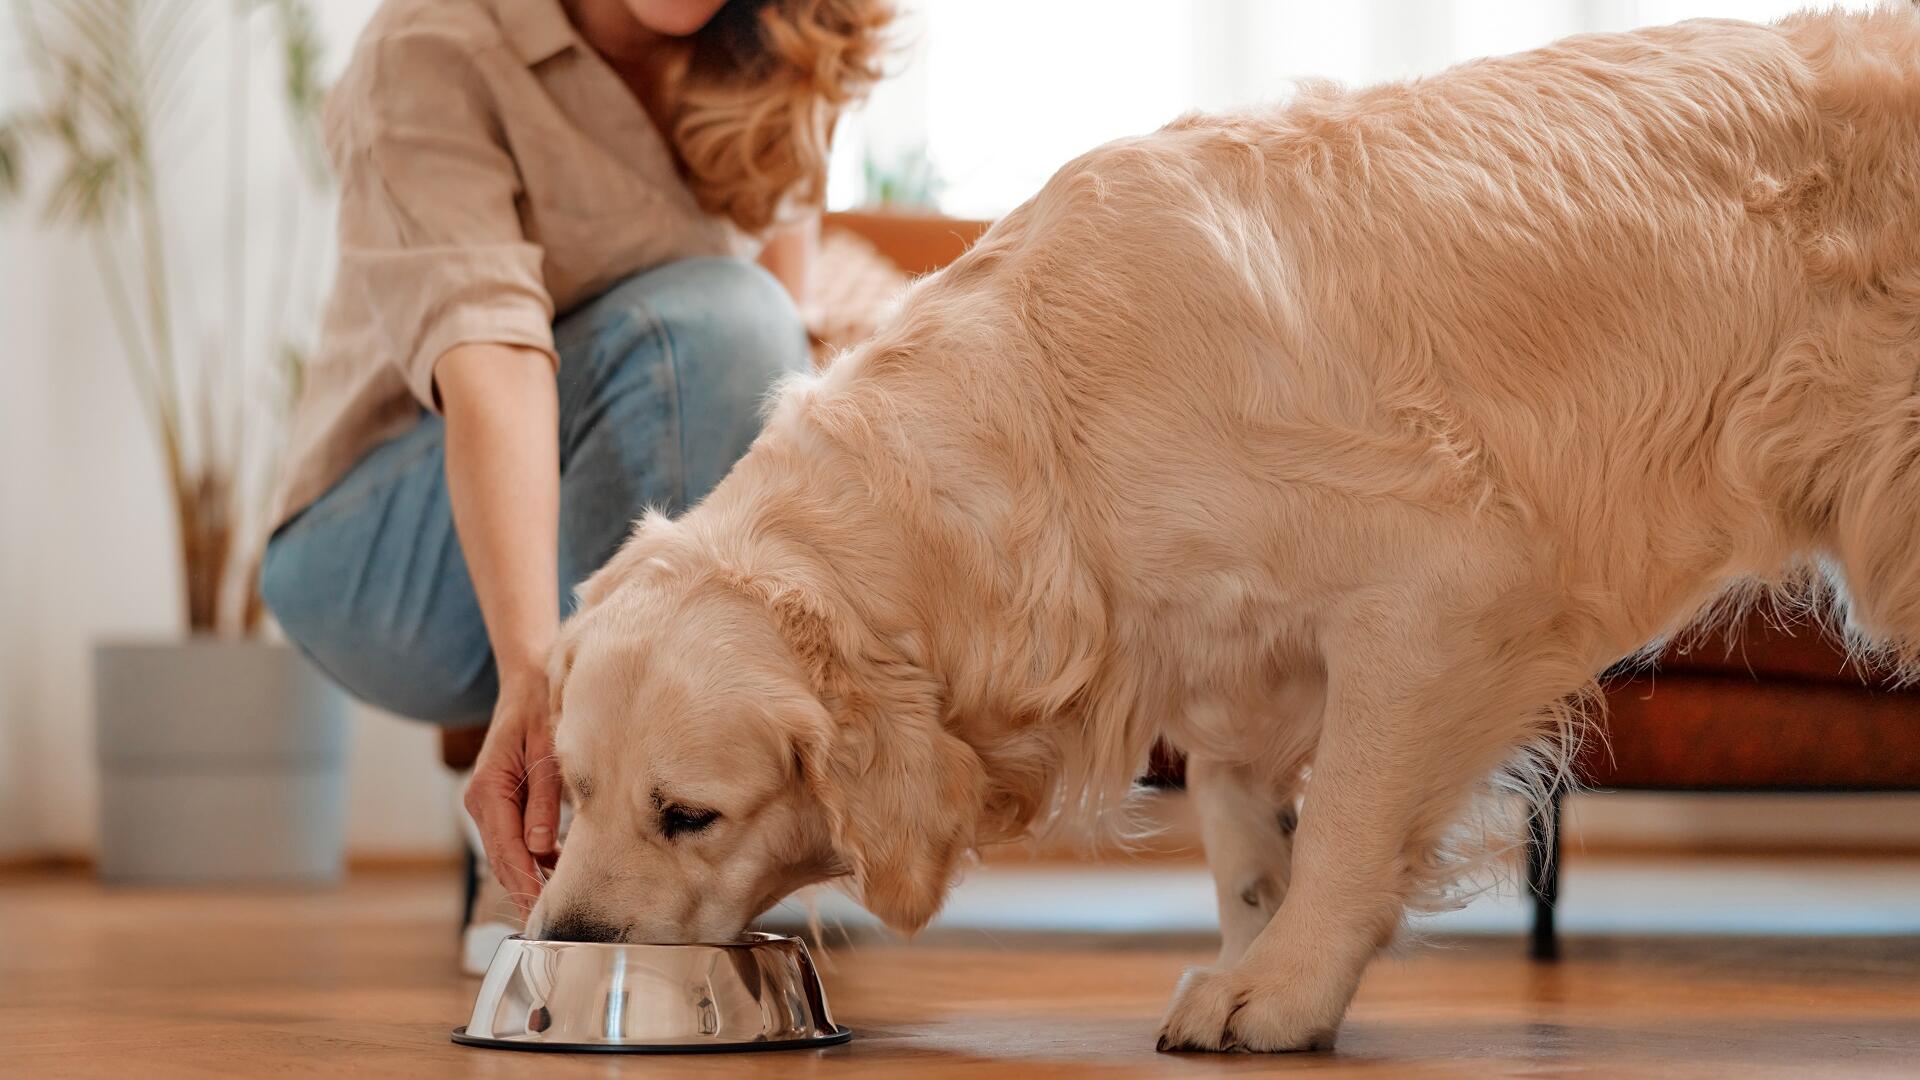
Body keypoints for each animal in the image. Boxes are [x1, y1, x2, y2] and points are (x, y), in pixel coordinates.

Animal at [526, 6, 1920, 1053]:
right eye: (574, 791)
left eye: (690, 815)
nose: (566, 946)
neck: (1053, 429)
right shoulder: (1230, 654)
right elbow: (1250, 834)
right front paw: (1257, 951)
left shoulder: (1438, 590)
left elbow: (1349, 814)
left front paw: (1284, 991)